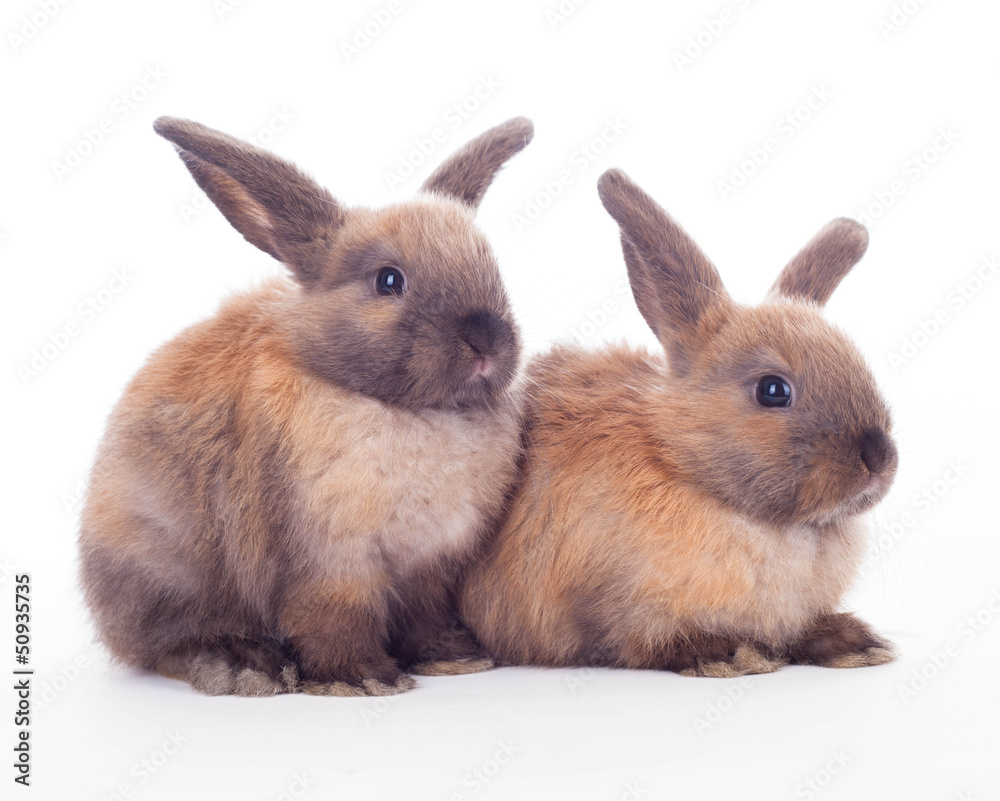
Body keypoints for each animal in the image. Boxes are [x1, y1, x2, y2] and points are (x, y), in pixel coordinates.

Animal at [79, 114, 534, 696]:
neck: (414, 411)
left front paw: (455, 658)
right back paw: (245, 666)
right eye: (389, 280)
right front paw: (364, 680)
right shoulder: (328, 566)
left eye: (492, 268)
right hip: (165, 567)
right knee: (172, 640)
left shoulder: (429, 569)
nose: (487, 340)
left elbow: (422, 618)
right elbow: (334, 623)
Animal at [460, 168, 898, 678]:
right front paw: (731, 652)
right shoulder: (612, 607)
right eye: (773, 390)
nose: (878, 458)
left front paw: (855, 643)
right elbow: (648, 642)